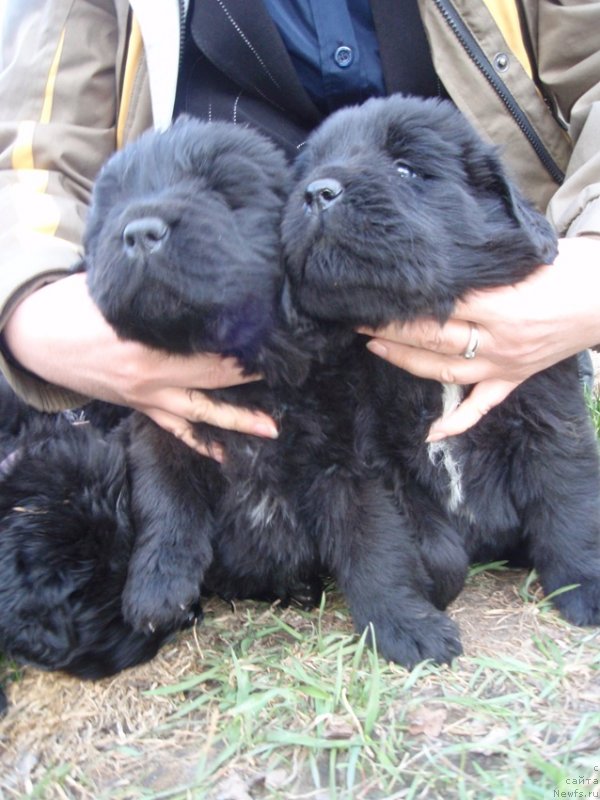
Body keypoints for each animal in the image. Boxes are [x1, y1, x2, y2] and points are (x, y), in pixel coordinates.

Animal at [282, 92, 600, 664]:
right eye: (309, 169)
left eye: (406, 169)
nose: (316, 193)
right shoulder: (364, 460)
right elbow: (402, 546)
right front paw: (410, 623)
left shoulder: (549, 418)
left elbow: (569, 502)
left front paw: (584, 584)